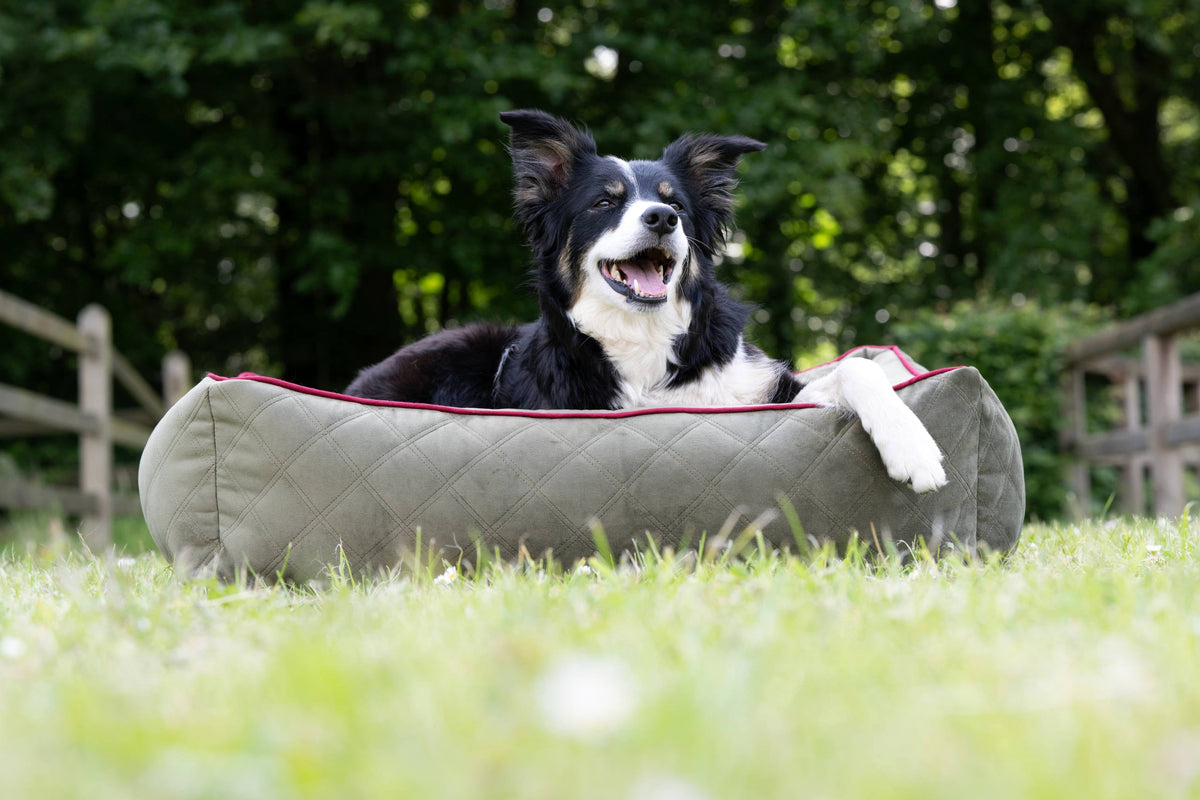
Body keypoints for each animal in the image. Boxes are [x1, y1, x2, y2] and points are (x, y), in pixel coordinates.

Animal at [348, 109, 945, 491]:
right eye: (605, 203)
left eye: (674, 203)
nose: (661, 219)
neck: (643, 336)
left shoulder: (760, 395)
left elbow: (858, 369)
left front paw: (913, 448)